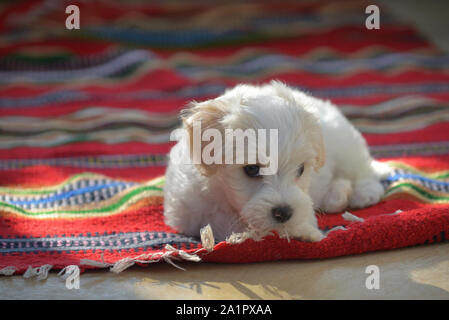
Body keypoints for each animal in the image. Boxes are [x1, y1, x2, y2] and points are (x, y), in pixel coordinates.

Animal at [162, 81, 388, 241]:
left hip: (346, 146)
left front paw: (304, 231)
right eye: (251, 169)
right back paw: (337, 194)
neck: (221, 191)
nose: (284, 212)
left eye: (300, 169)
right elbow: (221, 221)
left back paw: (362, 193)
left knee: (363, 170)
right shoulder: (187, 211)